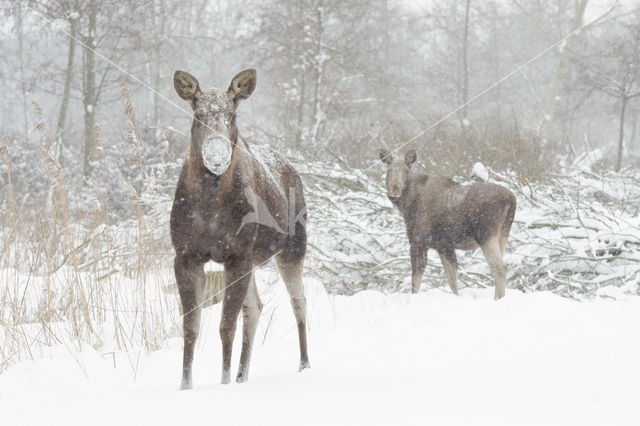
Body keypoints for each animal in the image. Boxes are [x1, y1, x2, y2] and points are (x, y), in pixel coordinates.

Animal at [170, 67, 310, 390]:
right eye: (198, 114)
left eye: (232, 115)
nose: (217, 157)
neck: (209, 207)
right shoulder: (185, 256)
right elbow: (191, 327)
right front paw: (185, 385)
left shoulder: (237, 255)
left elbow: (225, 326)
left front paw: (222, 382)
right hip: (254, 260)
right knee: (255, 307)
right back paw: (242, 374)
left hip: (292, 248)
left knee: (298, 301)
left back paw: (304, 364)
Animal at [378, 150, 516, 300]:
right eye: (389, 169)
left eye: (406, 170)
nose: (395, 188)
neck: (408, 206)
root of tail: (511, 199)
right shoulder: (443, 246)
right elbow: (452, 279)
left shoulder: (418, 242)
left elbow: (415, 281)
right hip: (502, 235)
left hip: (486, 236)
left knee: (500, 269)